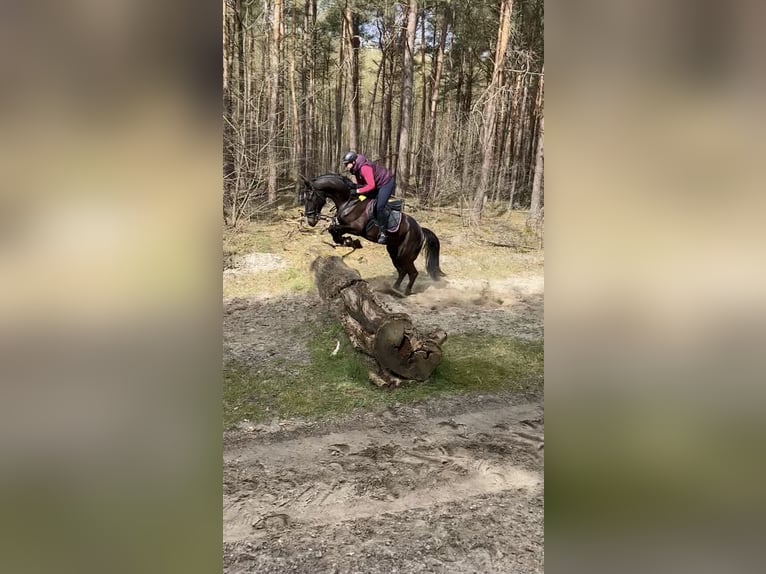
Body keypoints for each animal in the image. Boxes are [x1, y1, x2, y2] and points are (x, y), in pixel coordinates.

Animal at [300, 173, 444, 294]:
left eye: (310, 197)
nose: (310, 221)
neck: (349, 202)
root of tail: (420, 230)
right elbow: (333, 229)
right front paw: (345, 241)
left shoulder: (356, 228)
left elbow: (334, 228)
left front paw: (350, 241)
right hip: (394, 252)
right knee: (402, 271)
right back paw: (394, 288)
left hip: (405, 255)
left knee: (412, 273)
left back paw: (405, 292)